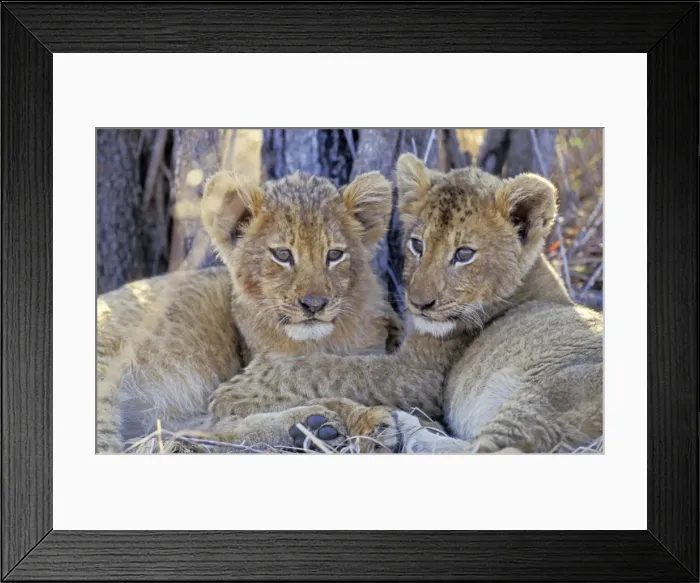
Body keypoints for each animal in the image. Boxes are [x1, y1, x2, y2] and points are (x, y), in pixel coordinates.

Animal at [97, 170, 403, 453]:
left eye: (335, 255)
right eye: (282, 255)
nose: (314, 304)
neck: (321, 340)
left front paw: (364, 422)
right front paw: (363, 419)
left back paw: (312, 426)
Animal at [210, 154, 603, 453]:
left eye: (464, 254)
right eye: (418, 245)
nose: (419, 303)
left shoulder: (418, 376)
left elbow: (335, 368)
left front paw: (238, 390)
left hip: (545, 395)